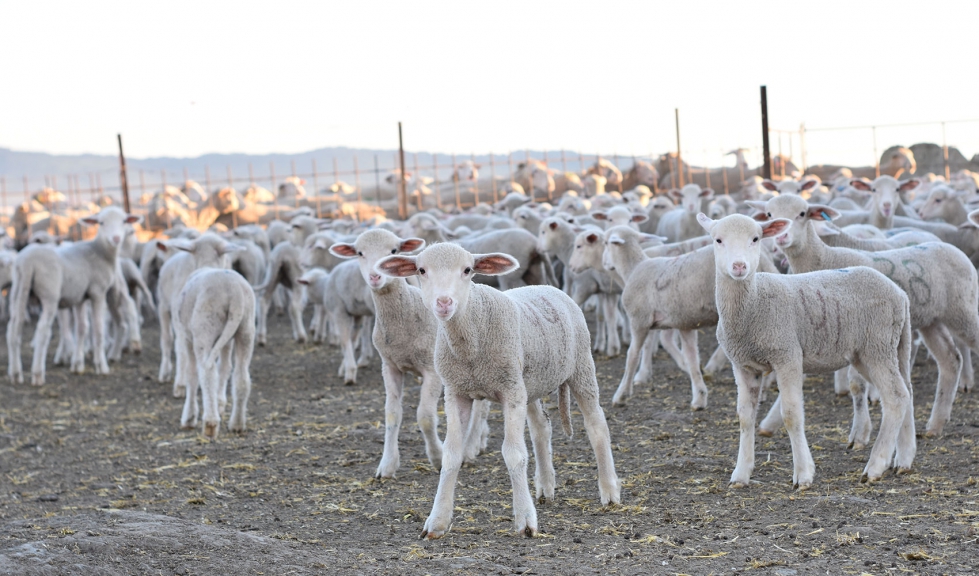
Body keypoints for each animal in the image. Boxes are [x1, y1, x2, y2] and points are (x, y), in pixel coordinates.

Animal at [6, 208, 140, 388]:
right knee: (43, 330)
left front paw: (77, 365)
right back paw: (38, 375)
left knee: (13, 329)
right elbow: (98, 329)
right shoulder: (97, 292)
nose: (116, 238)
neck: (100, 251)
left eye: (124, 221)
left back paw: (15, 374)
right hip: (50, 294)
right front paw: (101, 366)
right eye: (101, 223)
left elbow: (82, 328)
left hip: (19, 292)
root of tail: (26, 262)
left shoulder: (80, 297)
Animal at [173, 268, 256, 438]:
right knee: (242, 377)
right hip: (246, 327)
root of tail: (235, 291)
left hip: (205, 325)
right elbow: (224, 367)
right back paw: (237, 424)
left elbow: (192, 375)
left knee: (207, 372)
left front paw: (189, 418)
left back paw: (210, 424)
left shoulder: (188, 339)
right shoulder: (227, 341)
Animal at [376, 243, 620, 540]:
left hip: (581, 367)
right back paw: (545, 487)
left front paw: (525, 520)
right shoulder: (456, 392)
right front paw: (437, 522)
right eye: (421, 270)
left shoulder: (509, 391)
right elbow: (451, 455)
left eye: (468, 270)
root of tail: (550, 287)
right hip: (529, 382)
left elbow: (514, 454)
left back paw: (609, 491)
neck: (470, 342)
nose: (444, 303)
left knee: (597, 425)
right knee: (541, 428)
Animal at [696, 214, 920, 488]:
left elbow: (792, 415)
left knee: (896, 397)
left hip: (877, 345)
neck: (753, 304)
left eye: (756, 238)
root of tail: (900, 293)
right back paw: (904, 460)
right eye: (718, 240)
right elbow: (745, 417)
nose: (739, 266)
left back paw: (876, 466)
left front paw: (803, 474)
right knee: (907, 391)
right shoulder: (743, 364)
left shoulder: (788, 355)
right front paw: (741, 474)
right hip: (879, 350)